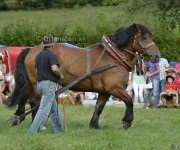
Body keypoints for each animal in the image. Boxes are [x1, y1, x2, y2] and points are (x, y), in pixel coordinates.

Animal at [4, 23, 160, 129]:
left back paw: (18, 118)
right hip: (38, 82)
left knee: (24, 97)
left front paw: (94, 125)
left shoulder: (104, 91)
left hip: (30, 82)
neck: (113, 56)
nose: (157, 56)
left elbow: (99, 107)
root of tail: (31, 50)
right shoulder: (115, 88)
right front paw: (127, 121)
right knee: (34, 101)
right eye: (144, 37)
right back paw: (38, 124)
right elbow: (129, 101)